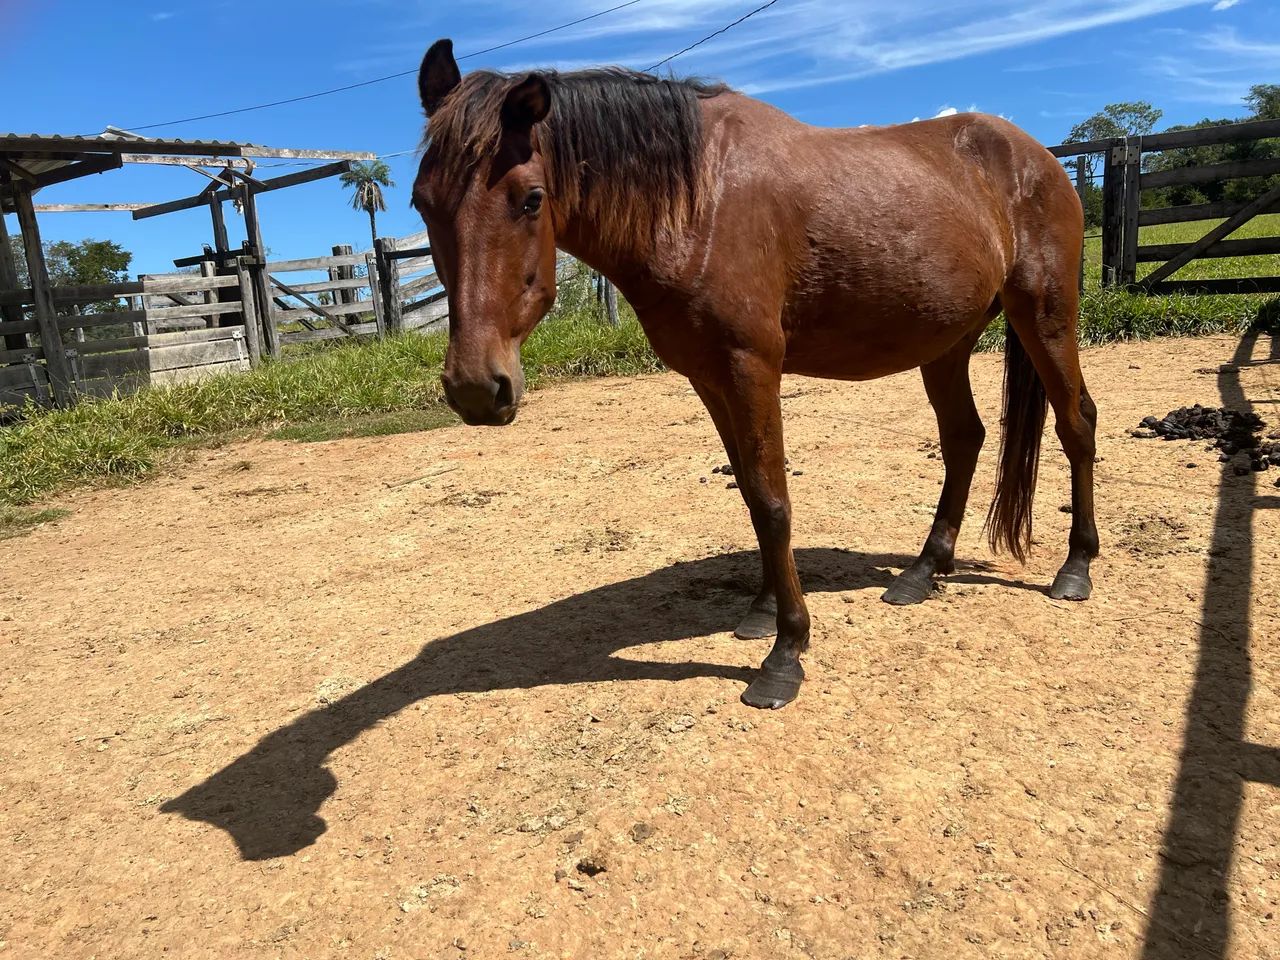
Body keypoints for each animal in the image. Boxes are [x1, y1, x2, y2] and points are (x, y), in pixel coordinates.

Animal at [410, 39, 1098, 710]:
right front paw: (764, 611)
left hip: (1045, 317)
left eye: (530, 199)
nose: (476, 387)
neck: (699, 201)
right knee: (964, 438)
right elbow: (748, 490)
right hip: (947, 341)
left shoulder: (751, 368)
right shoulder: (709, 376)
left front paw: (785, 652)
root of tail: (1038, 157)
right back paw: (924, 572)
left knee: (1076, 423)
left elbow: (773, 502)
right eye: (421, 203)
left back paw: (1075, 568)